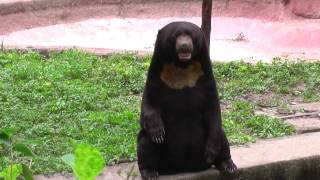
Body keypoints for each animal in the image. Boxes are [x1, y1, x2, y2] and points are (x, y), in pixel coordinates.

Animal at [136, 21, 236, 180]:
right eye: (176, 36)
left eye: (190, 35)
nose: (184, 45)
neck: (182, 66)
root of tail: (184, 168)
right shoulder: (157, 75)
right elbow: (149, 103)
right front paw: (157, 132)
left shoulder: (204, 76)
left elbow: (212, 107)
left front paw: (211, 153)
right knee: (145, 142)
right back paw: (150, 172)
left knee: (221, 135)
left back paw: (228, 164)